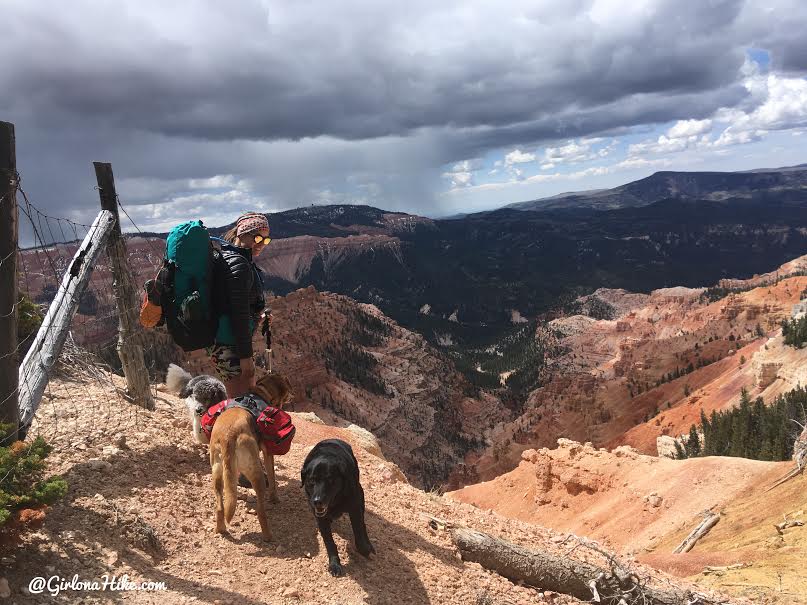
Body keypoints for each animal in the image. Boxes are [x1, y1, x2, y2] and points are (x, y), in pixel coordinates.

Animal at [210, 372, 296, 536]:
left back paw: (220, 529)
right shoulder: (268, 453)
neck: (262, 392)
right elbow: (273, 478)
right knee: (260, 510)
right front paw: (275, 499)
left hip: (217, 472)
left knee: (220, 507)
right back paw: (268, 536)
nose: (293, 396)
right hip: (256, 472)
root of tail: (227, 437)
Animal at [304, 436, 376, 572]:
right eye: (311, 480)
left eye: (330, 480)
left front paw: (365, 549)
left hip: (361, 497)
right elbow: (329, 542)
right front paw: (334, 564)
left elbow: (358, 530)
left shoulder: (355, 507)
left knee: (362, 524)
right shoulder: (320, 517)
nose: (317, 501)